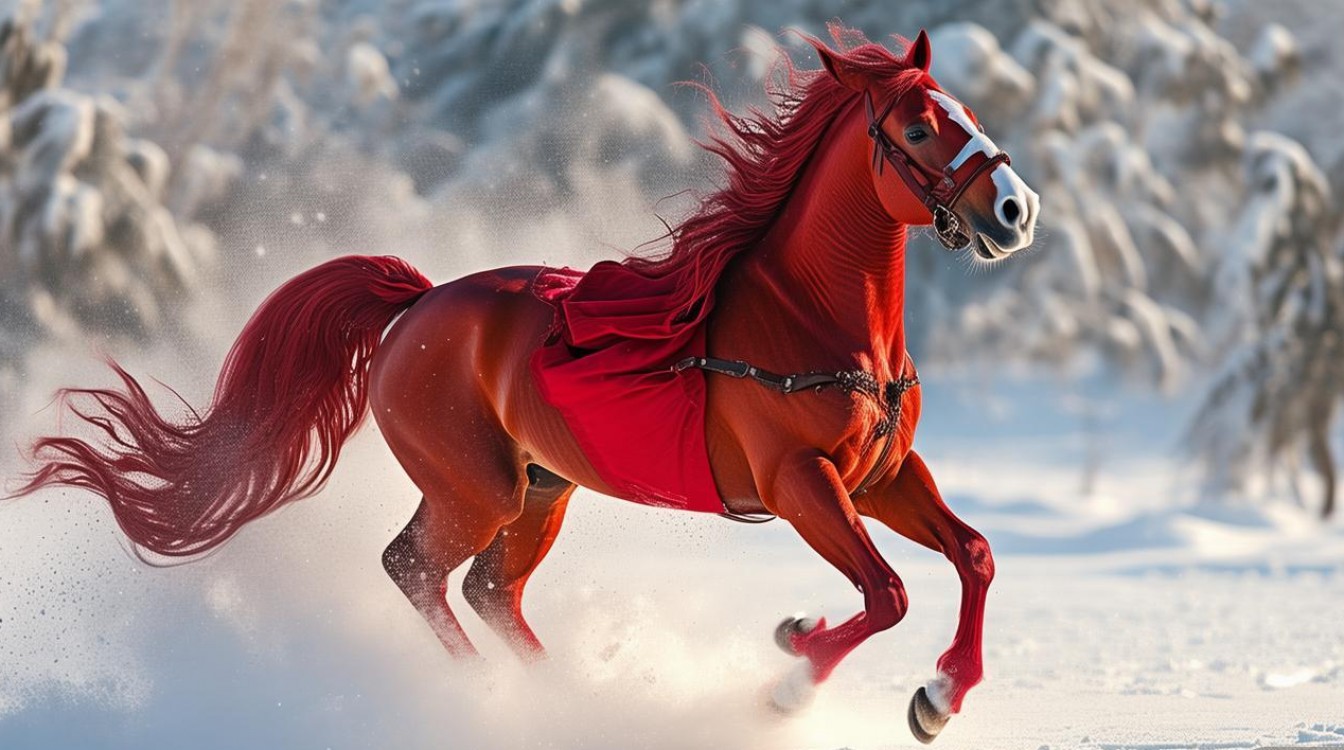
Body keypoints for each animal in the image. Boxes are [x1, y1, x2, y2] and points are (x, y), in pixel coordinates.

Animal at [11, 27, 1038, 743]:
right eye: (918, 125)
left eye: (964, 109)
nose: (1015, 210)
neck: (812, 320)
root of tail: (415, 307)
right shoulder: (800, 483)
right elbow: (886, 594)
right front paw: (788, 672)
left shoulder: (884, 477)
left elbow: (975, 556)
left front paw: (937, 696)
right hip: (477, 489)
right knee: (416, 570)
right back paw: (496, 702)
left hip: (543, 492)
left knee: (487, 593)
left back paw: (567, 702)